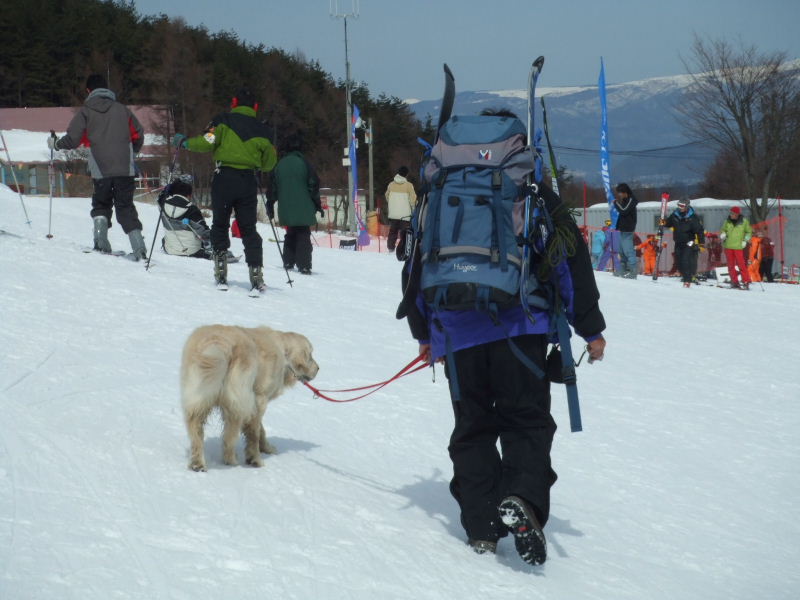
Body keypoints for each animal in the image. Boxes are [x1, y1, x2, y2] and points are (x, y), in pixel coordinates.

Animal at [181, 326, 318, 472]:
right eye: (310, 355)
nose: (318, 369)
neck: (283, 352)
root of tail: (220, 342)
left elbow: (260, 429)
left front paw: (266, 447)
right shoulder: (259, 399)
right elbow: (255, 432)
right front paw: (256, 456)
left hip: (198, 397)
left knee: (196, 429)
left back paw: (198, 463)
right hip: (236, 400)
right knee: (230, 436)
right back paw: (236, 460)